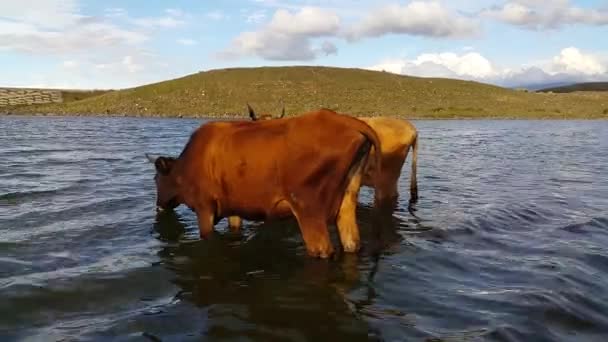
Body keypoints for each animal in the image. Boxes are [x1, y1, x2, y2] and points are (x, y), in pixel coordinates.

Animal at [146, 108, 380, 258]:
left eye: (156, 178)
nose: (158, 206)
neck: (187, 165)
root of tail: (341, 118)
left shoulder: (204, 209)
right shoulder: (233, 207)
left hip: (309, 210)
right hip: (347, 204)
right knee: (352, 243)